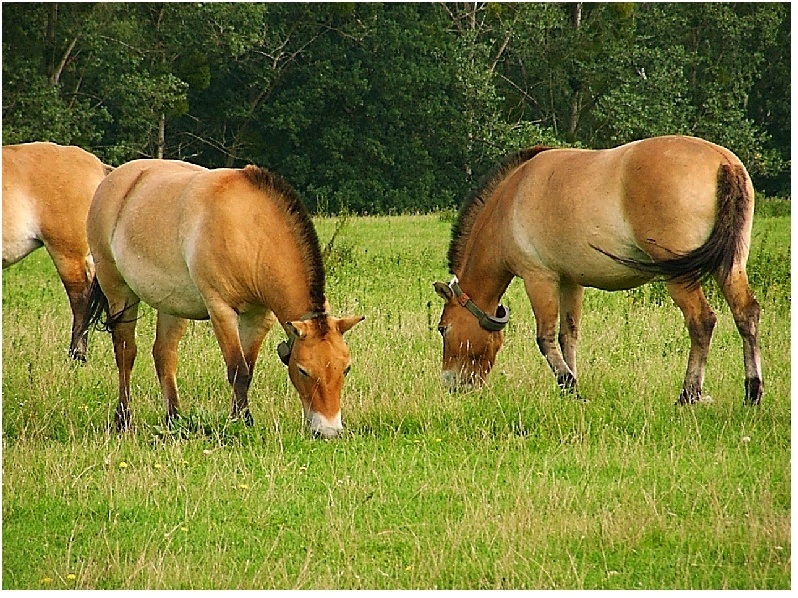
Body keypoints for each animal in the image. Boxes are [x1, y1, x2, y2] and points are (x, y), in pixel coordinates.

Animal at [80, 159, 362, 438]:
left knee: (164, 355)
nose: (329, 431)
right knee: (125, 353)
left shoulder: (259, 317)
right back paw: (123, 420)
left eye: (346, 368)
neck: (249, 231)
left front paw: (239, 417)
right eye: (303, 370)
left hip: (172, 306)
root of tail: (112, 178)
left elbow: (248, 368)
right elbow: (238, 370)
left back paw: (174, 420)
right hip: (119, 292)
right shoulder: (221, 310)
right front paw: (242, 423)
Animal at [434, 136, 764, 408]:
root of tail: (723, 162)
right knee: (746, 314)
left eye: (443, 328)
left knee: (701, 322)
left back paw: (688, 394)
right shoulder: (570, 281)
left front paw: (568, 385)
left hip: (680, 277)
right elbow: (568, 335)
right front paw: (569, 387)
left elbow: (545, 337)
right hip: (730, 266)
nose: (451, 385)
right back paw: (752, 392)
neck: (511, 198)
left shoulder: (539, 278)